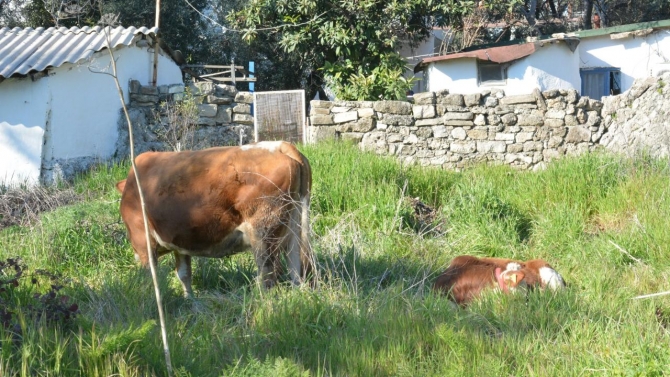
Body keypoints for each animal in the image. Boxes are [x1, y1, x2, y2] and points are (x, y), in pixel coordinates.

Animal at [115, 140, 316, 296]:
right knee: (296, 272)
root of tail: (280, 145)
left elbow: (152, 276)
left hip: (263, 232)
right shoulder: (181, 242)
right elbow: (184, 274)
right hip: (294, 230)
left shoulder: (143, 241)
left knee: (268, 274)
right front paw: (190, 300)